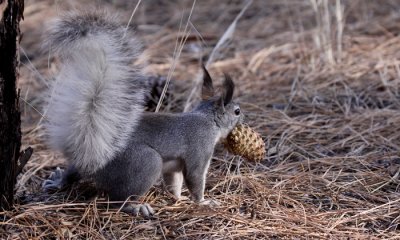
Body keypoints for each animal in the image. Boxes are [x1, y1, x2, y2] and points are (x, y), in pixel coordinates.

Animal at [43, 11, 244, 218]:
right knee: (117, 199)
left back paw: (58, 180)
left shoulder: (174, 168)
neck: (207, 119)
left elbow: (174, 182)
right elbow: (195, 179)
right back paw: (136, 207)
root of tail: (92, 156)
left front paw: (179, 198)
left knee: (73, 172)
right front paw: (203, 202)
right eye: (236, 111)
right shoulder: (200, 148)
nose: (242, 119)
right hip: (145, 162)